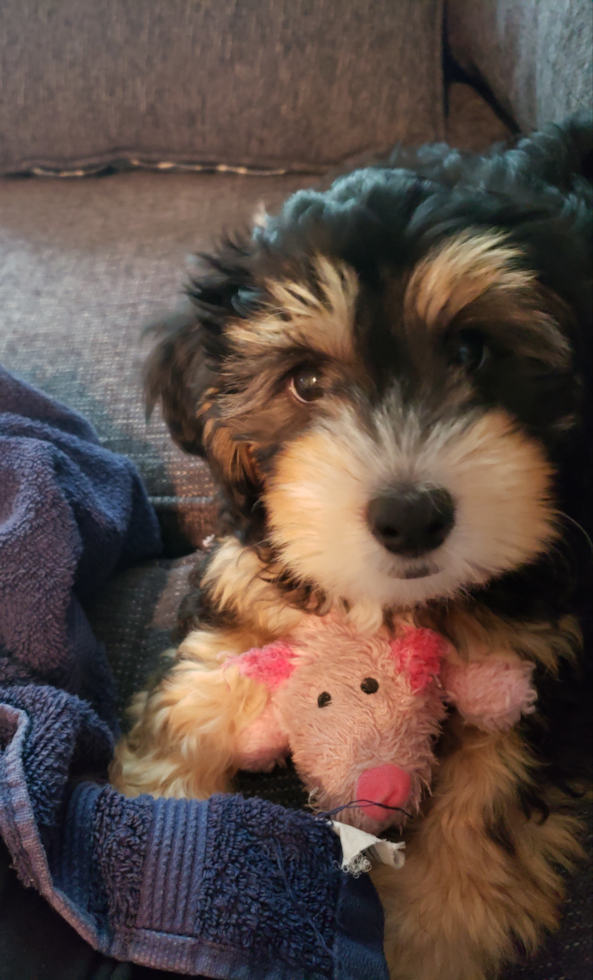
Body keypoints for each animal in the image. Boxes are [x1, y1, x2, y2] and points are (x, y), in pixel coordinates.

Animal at [112, 117, 592, 980]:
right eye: (304, 382)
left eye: (471, 350)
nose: (410, 518)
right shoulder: (250, 575)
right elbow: (197, 688)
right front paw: (159, 827)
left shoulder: (548, 656)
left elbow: (486, 801)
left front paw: (425, 939)